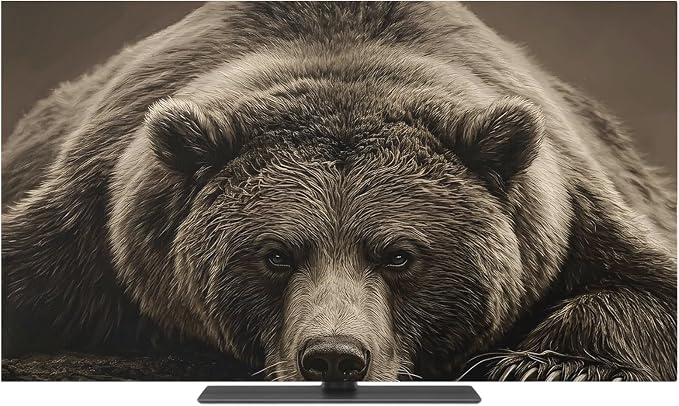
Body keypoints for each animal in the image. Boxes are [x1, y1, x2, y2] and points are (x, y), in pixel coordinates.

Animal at [2, 2, 676, 381]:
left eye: (400, 254)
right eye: (275, 254)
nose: (334, 357)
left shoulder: (573, 216)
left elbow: (642, 289)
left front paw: (540, 366)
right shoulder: (89, 228)